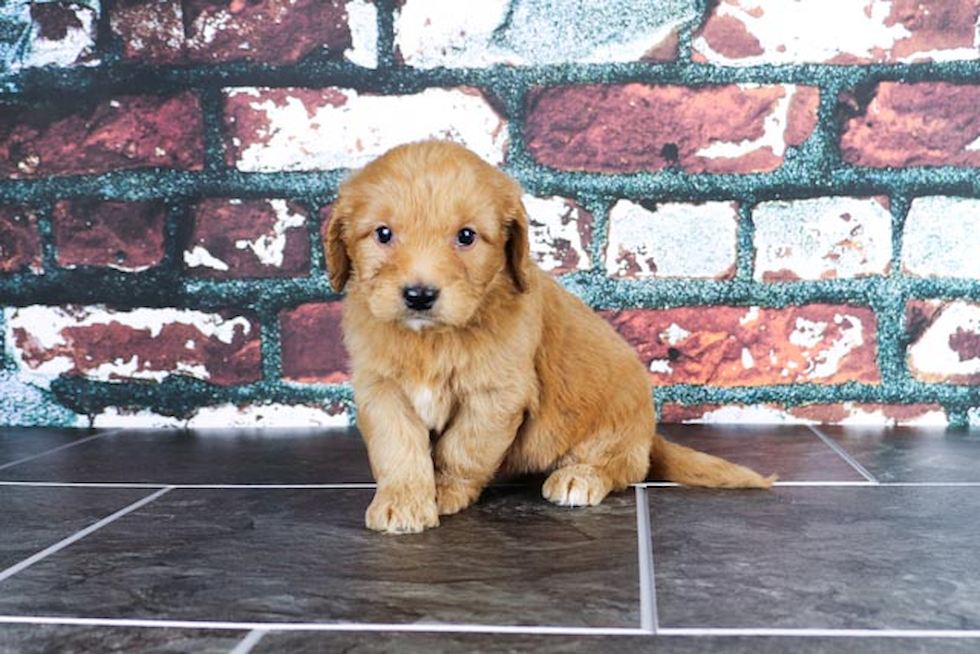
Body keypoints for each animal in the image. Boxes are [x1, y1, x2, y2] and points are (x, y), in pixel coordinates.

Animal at [326, 141, 776, 536]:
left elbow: (463, 448)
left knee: (624, 468)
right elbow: (397, 447)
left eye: (466, 236)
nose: (419, 295)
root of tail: (648, 434)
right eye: (383, 234)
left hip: (617, 421)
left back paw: (580, 477)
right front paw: (401, 502)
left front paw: (445, 491)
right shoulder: (380, 389)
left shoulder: (497, 395)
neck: (432, 340)